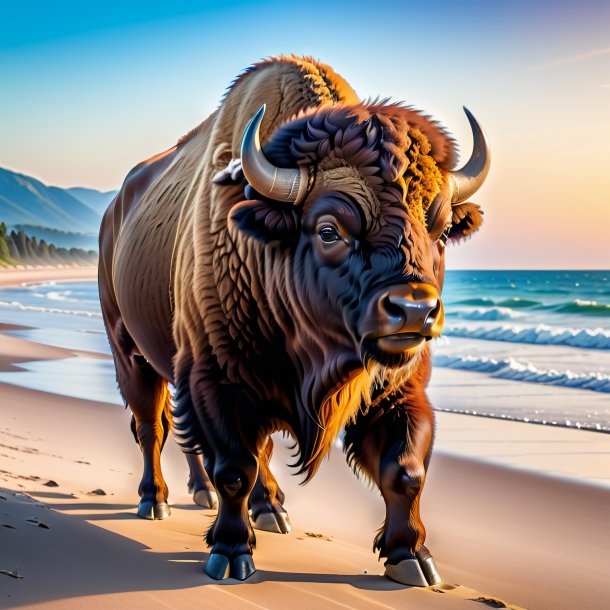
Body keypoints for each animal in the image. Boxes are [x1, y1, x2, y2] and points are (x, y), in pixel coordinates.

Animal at [100, 54, 490, 580]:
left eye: (444, 230)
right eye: (328, 230)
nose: (413, 309)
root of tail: (114, 212)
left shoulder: (397, 388)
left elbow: (405, 469)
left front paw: (411, 557)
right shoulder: (213, 379)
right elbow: (234, 468)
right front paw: (230, 552)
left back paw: (262, 506)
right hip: (130, 352)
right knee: (152, 428)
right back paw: (154, 501)